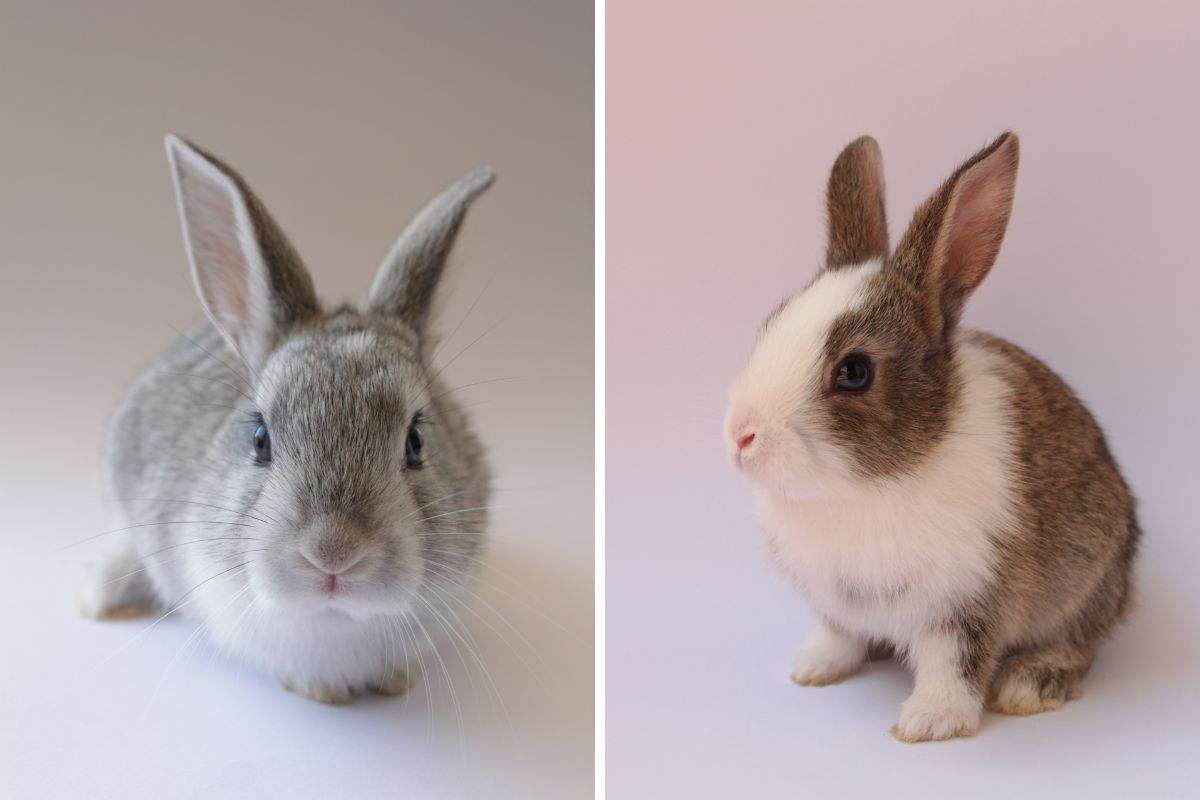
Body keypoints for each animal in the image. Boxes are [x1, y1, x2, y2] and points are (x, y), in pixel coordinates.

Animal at [724, 132, 1139, 742]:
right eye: (770, 325)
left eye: (854, 372)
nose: (742, 435)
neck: (867, 486)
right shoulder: (835, 602)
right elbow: (838, 634)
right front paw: (814, 670)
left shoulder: (967, 602)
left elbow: (954, 663)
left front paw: (928, 723)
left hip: (1084, 582)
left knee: (1079, 644)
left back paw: (1028, 684)